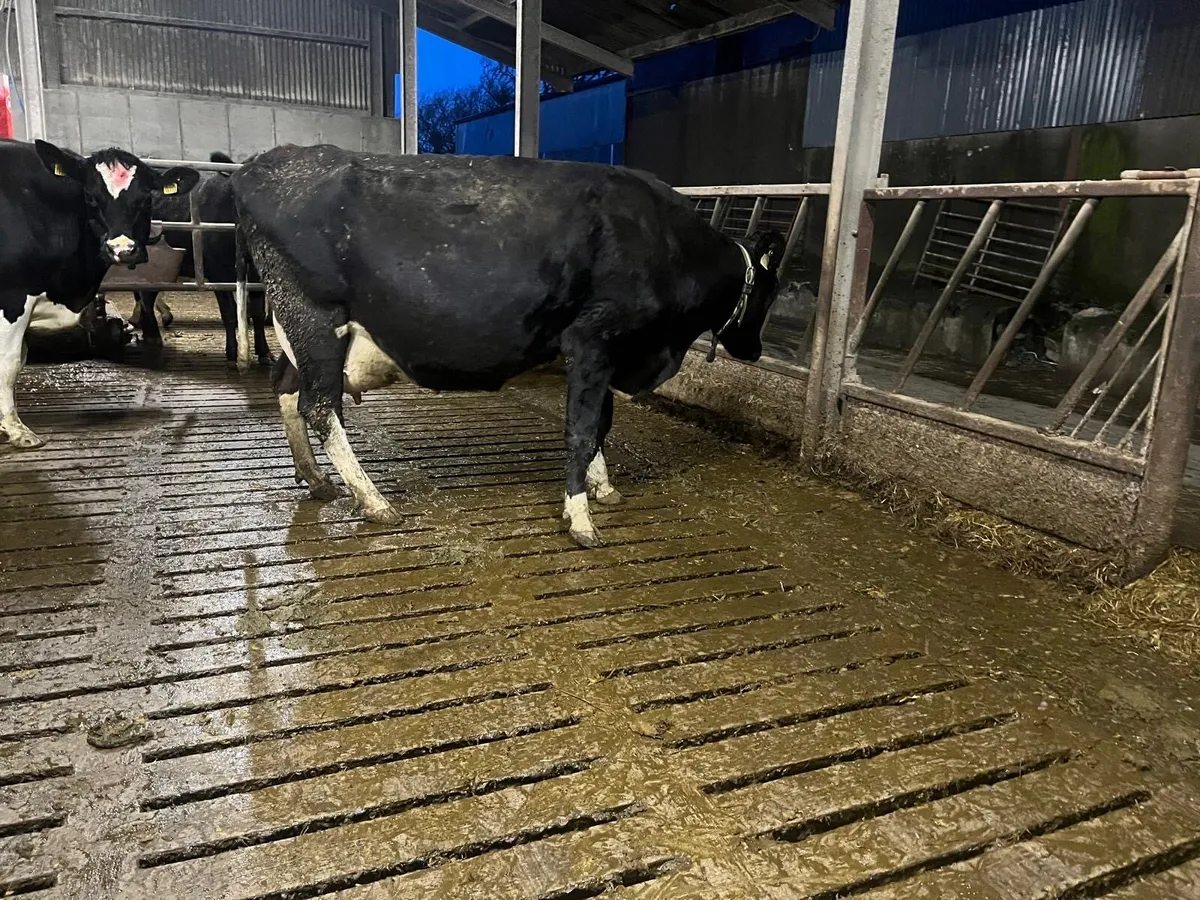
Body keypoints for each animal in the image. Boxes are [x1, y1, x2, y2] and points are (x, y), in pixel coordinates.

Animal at [1, 139, 198, 448]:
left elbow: (18, 360)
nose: (122, 249)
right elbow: (9, 364)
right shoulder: (13, 295)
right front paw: (17, 430)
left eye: (146, 199)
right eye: (91, 198)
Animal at [126, 152, 272, 367]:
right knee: (145, 294)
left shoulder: (256, 274)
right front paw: (231, 354)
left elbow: (257, 312)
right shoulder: (218, 273)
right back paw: (153, 334)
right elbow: (229, 314)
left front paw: (264, 353)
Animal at [231, 145, 785, 546]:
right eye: (772, 292)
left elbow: (601, 425)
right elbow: (582, 429)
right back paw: (374, 502)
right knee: (321, 407)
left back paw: (316, 479)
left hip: (298, 331)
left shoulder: (607, 355)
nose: (755, 351)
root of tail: (267, 161)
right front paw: (580, 518)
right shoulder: (593, 338)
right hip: (316, 320)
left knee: (287, 388)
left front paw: (603, 487)